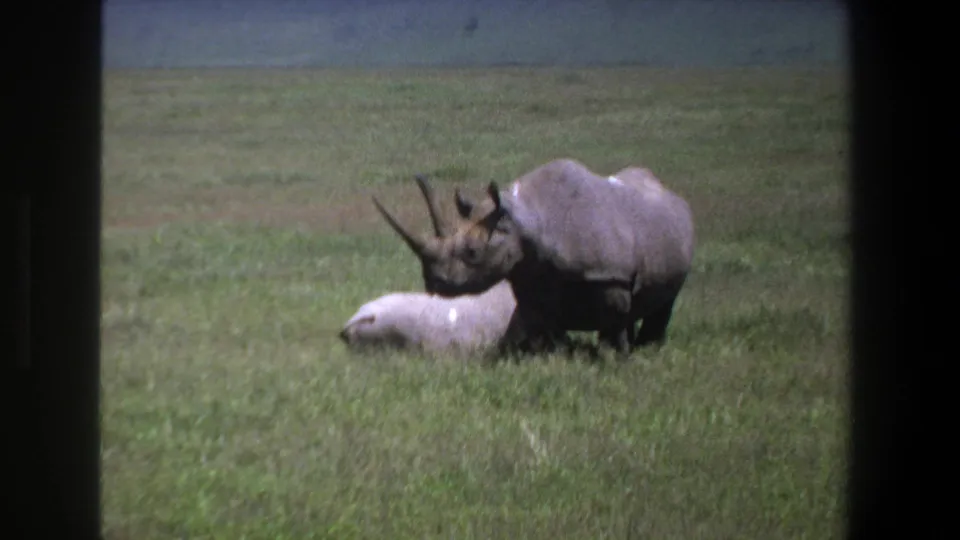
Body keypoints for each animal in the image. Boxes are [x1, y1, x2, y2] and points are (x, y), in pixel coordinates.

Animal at [372, 158, 695, 356]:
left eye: (473, 253)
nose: (434, 284)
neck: (526, 221)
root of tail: (670, 192)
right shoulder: (531, 276)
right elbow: (546, 325)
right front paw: (556, 356)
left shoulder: (609, 275)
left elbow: (613, 324)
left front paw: (616, 358)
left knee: (664, 300)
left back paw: (648, 348)